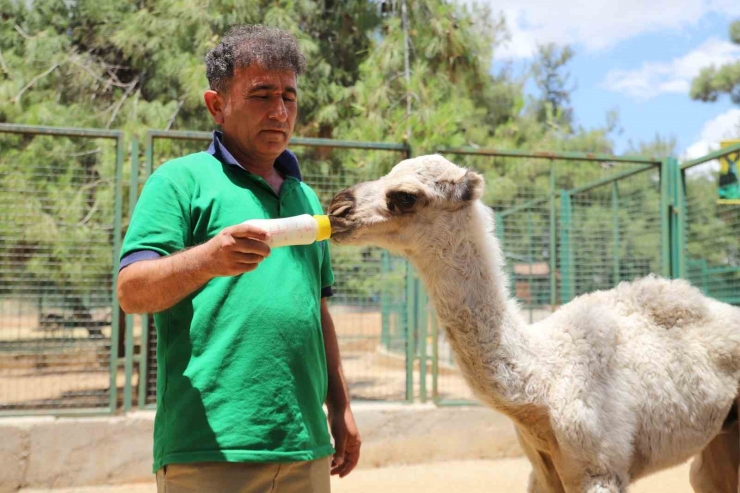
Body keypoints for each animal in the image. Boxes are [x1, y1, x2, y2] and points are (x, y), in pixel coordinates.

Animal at [330, 155, 740, 492]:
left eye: (405, 196)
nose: (337, 207)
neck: (542, 384)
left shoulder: (601, 468)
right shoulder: (544, 473)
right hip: (721, 439)